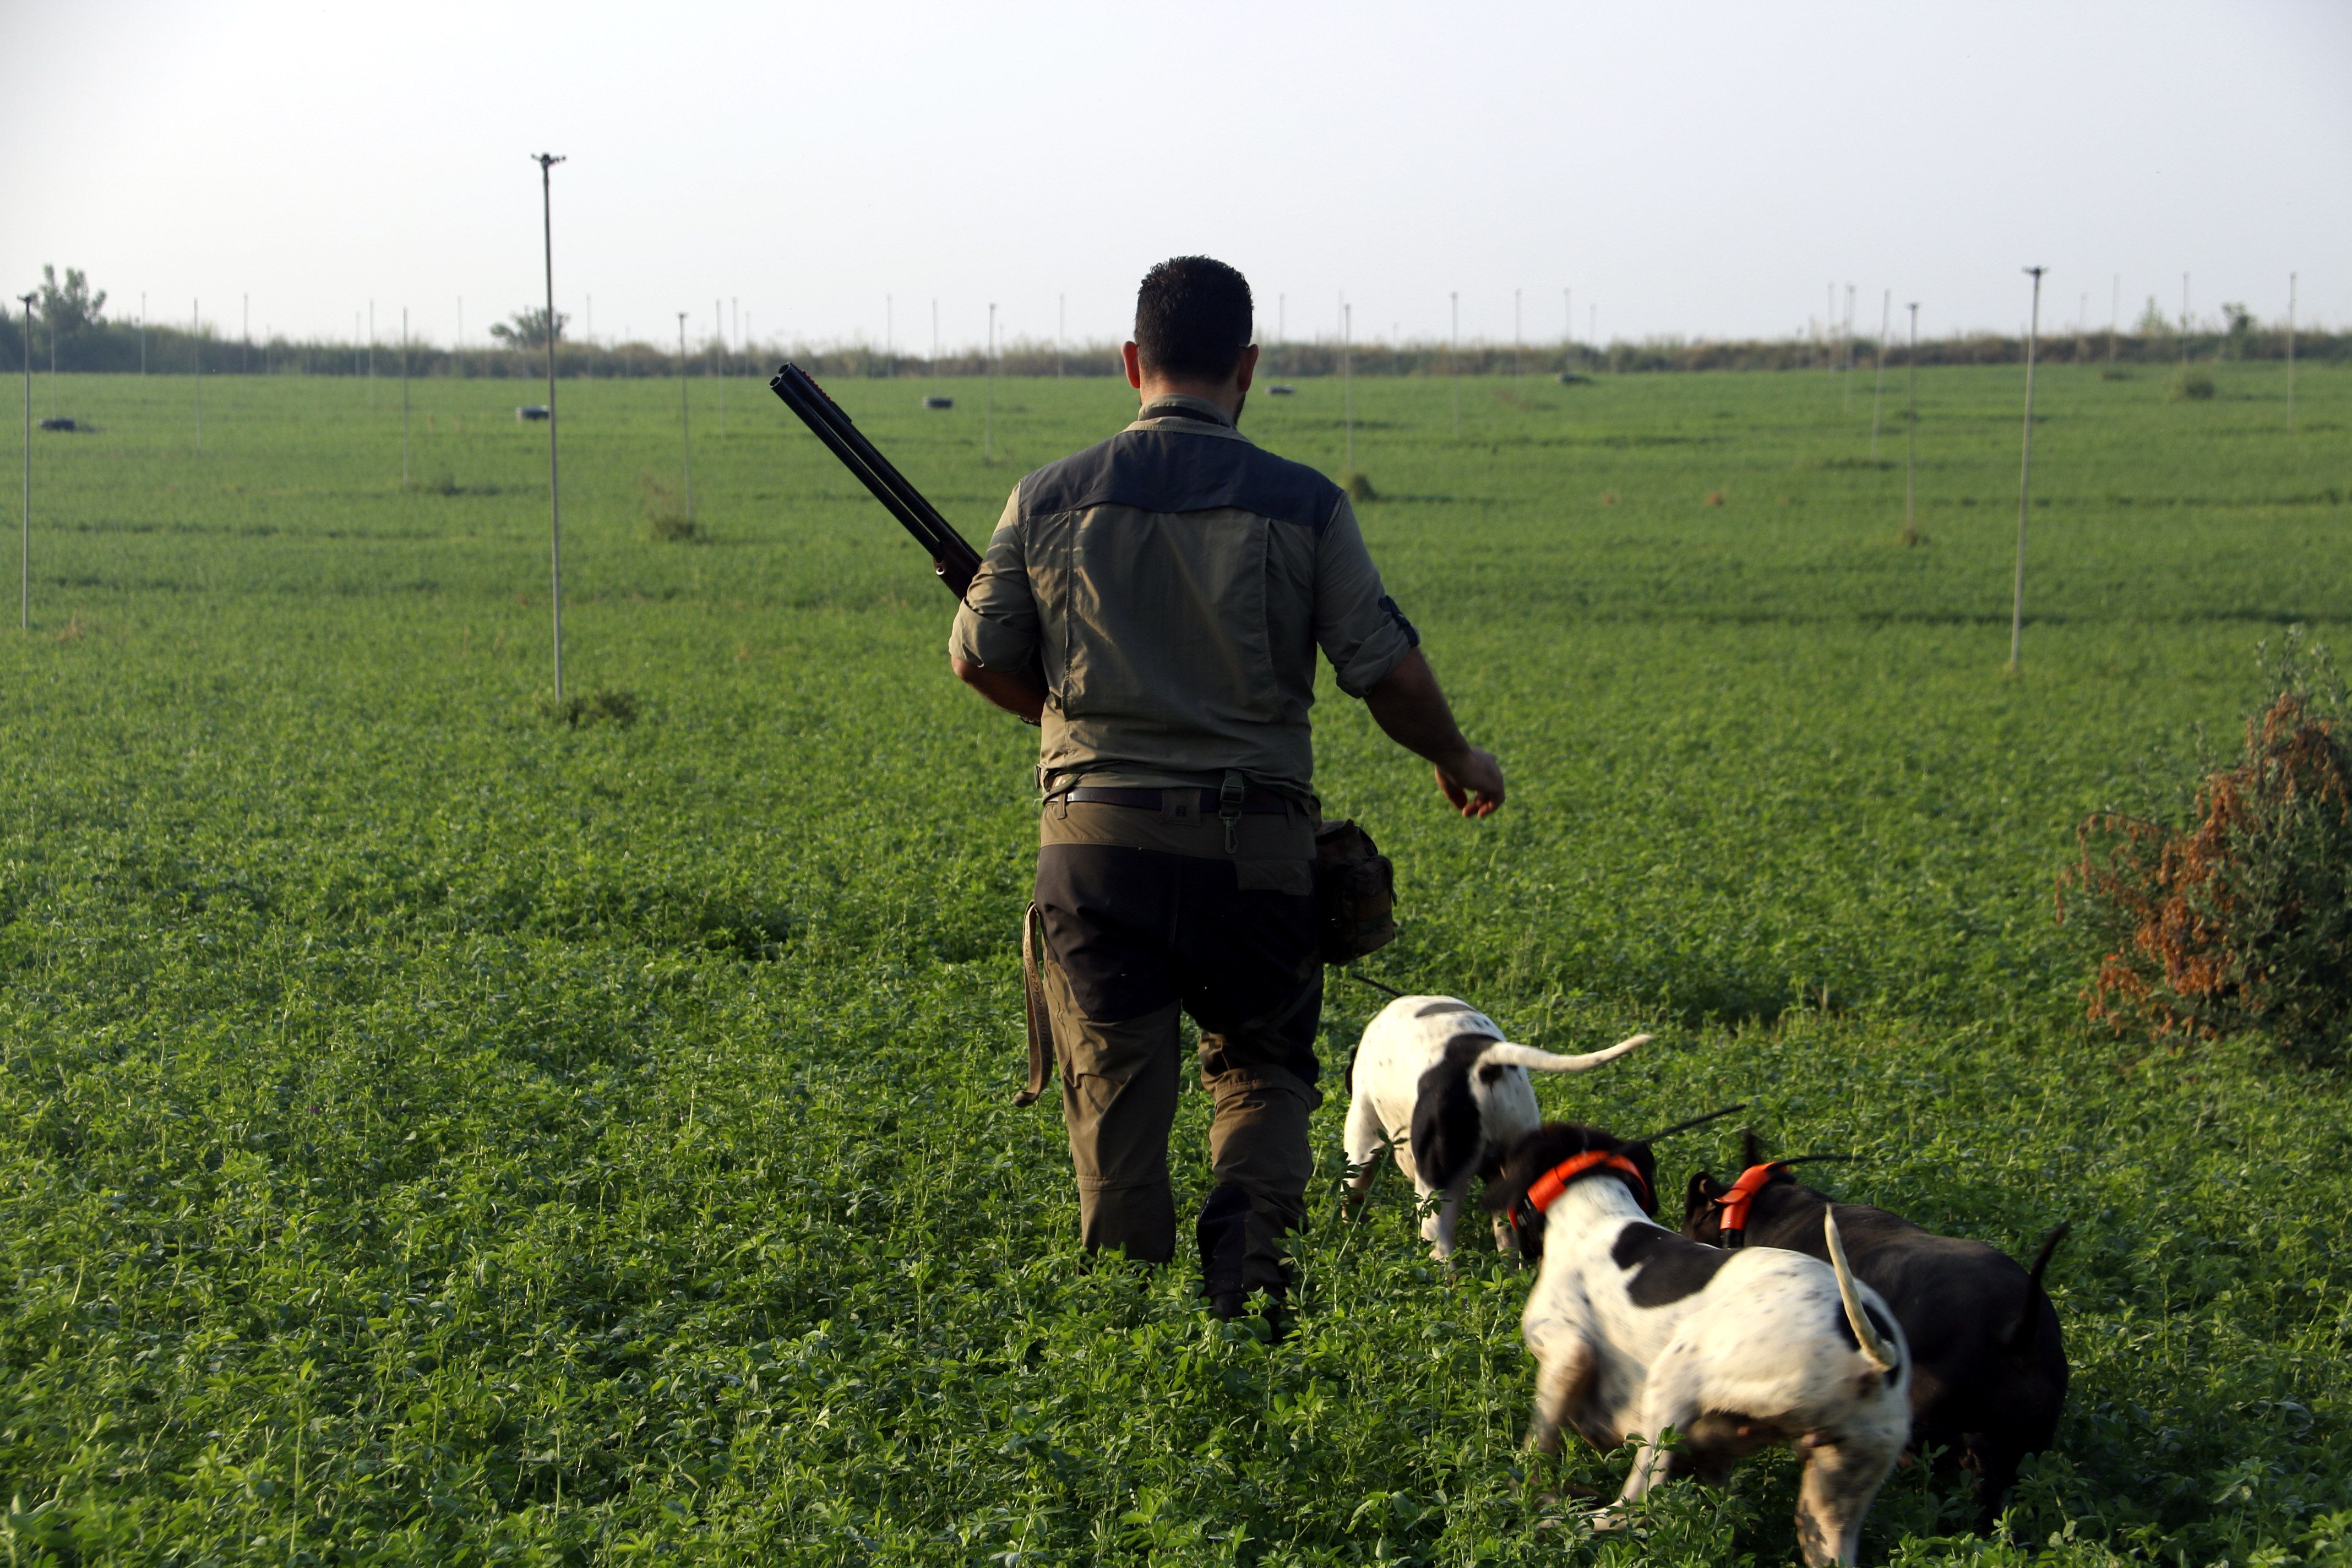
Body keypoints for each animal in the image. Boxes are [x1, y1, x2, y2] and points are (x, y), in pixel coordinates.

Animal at [1345, 992, 1656, 1260]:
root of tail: (1485, 1059)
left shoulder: (1364, 1134)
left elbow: (1352, 1189)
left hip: (1434, 1193)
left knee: (1442, 1253)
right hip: (1514, 1174)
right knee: (1509, 1236)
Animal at [1495, 1128, 1919, 1568]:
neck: (1597, 1211)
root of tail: (1874, 1356)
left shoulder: (1569, 1356)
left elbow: (1536, 1447)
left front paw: (1526, 1496)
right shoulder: (1716, 1454)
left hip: (1674, 1378)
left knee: (1634, 1504)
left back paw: (1563, 1523)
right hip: (1836, 1489)